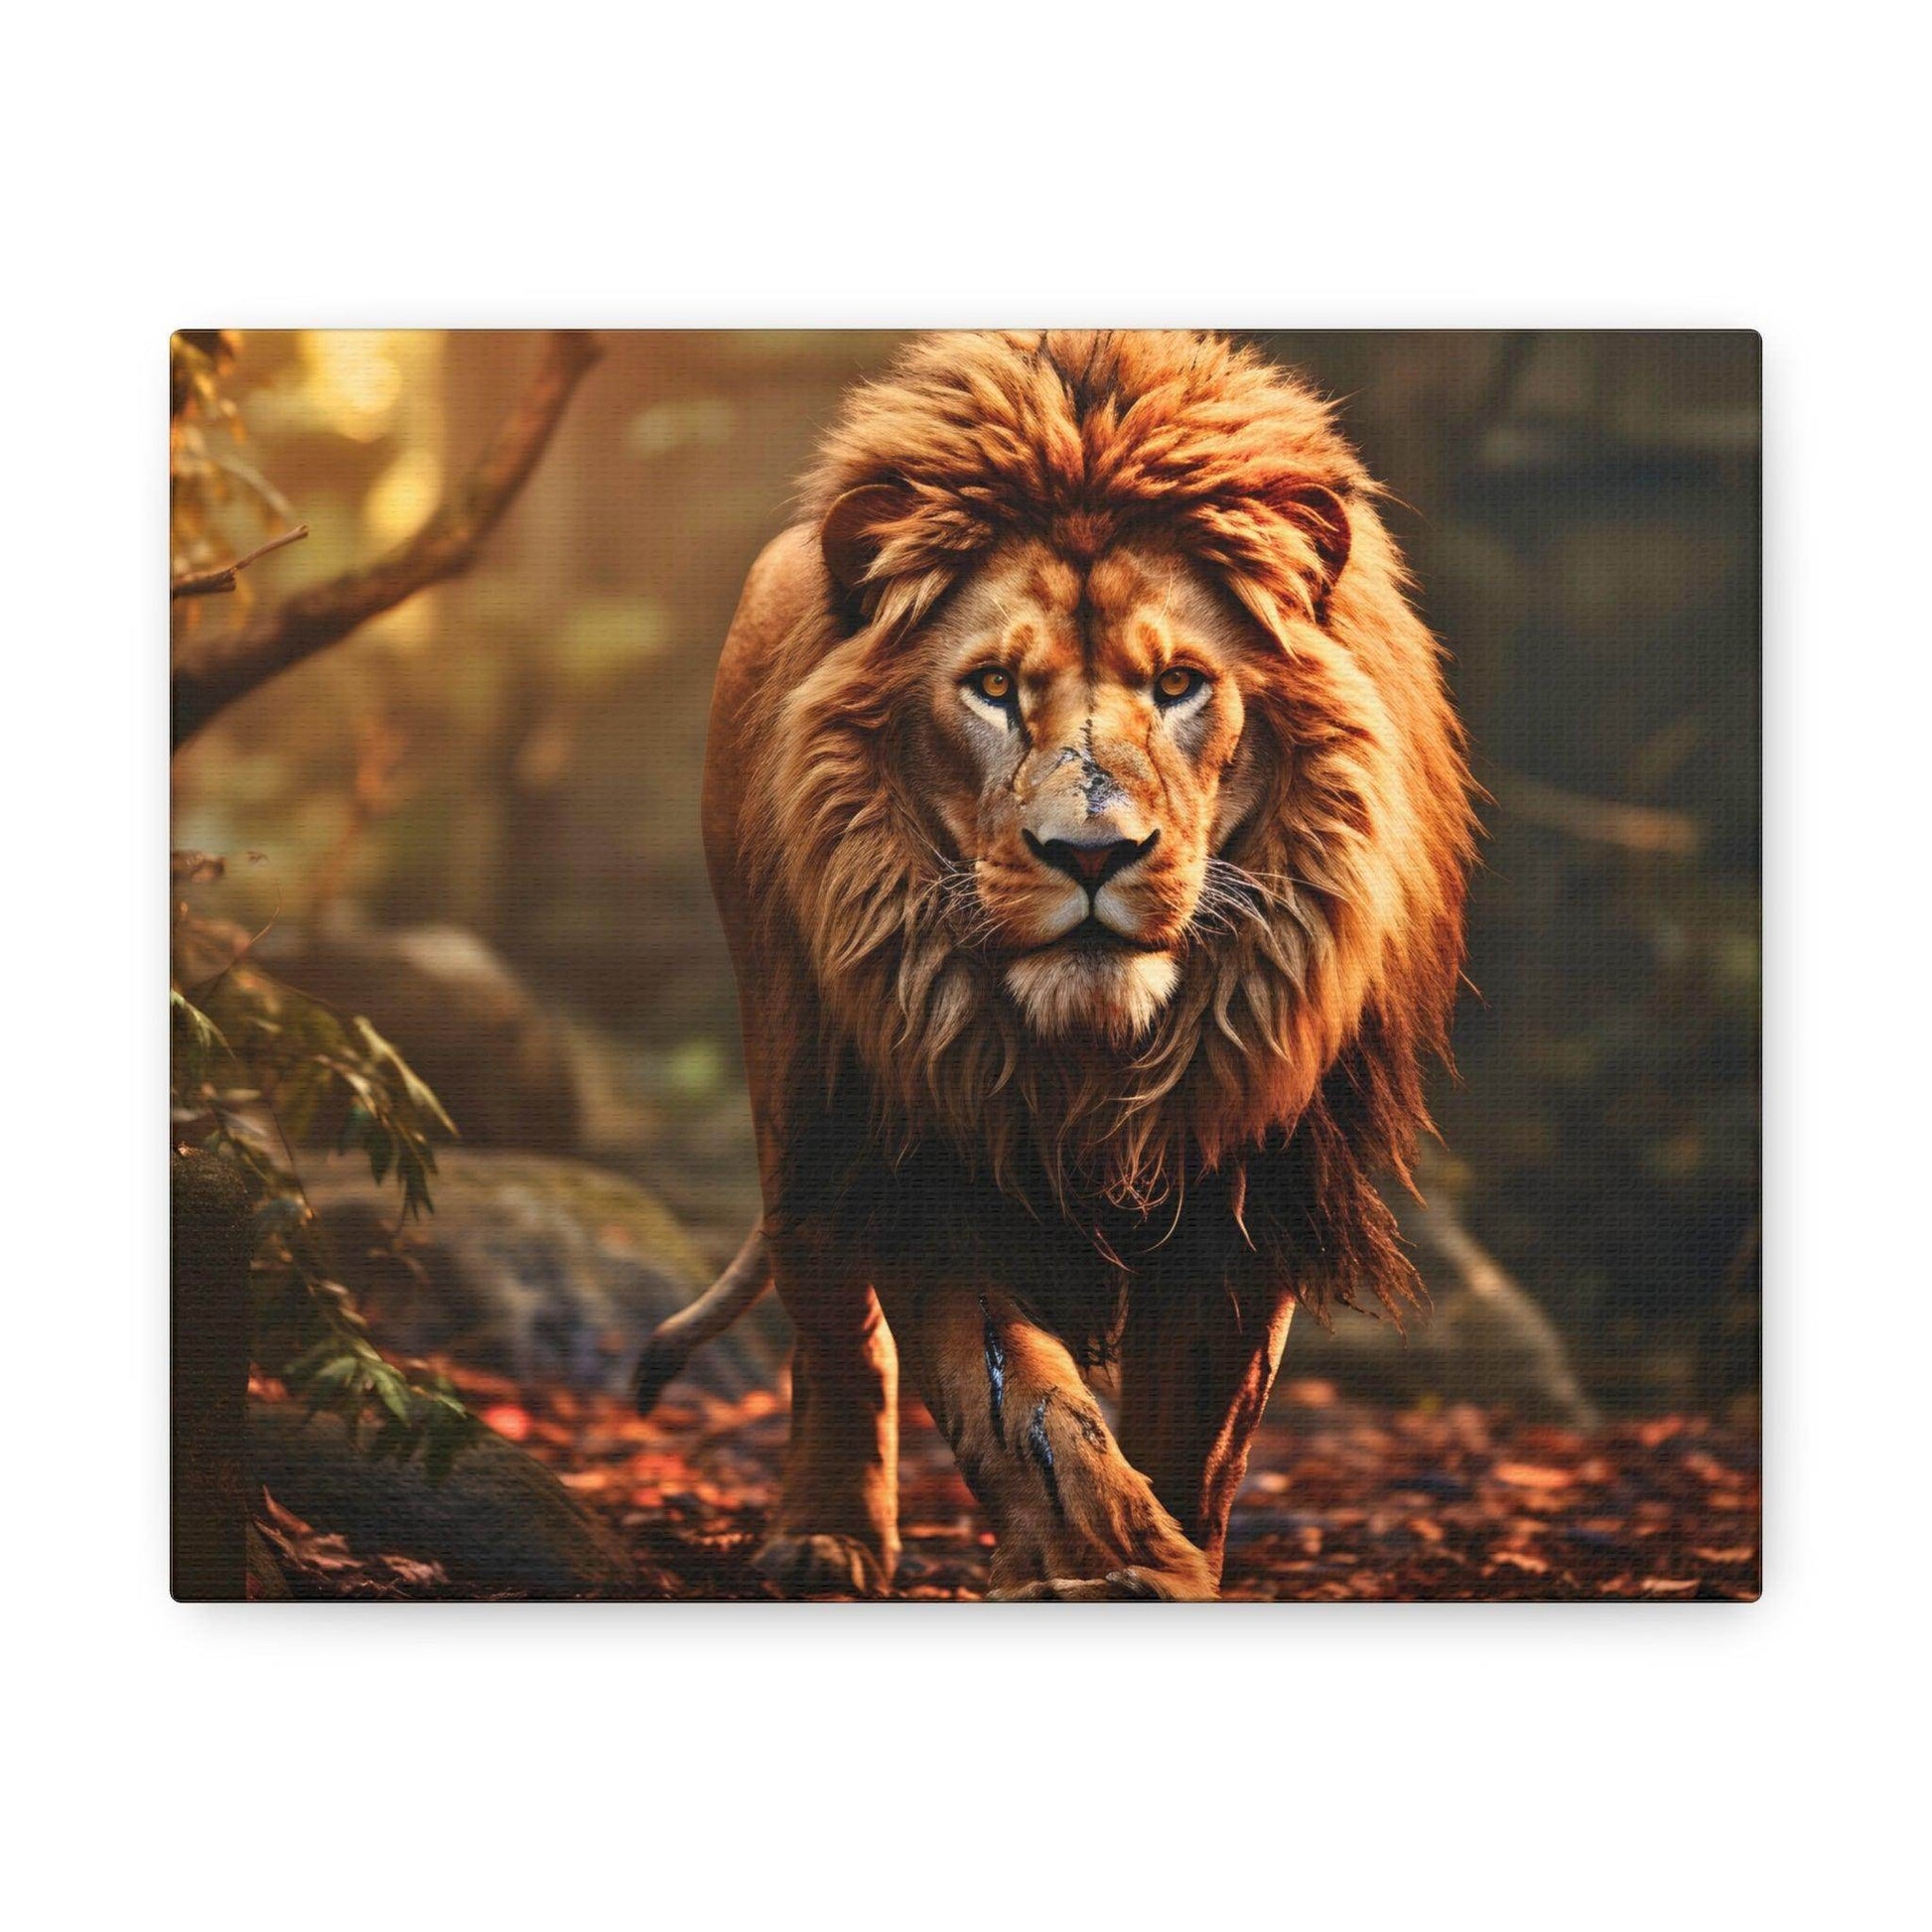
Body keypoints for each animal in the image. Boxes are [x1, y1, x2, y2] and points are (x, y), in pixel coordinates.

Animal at [635, 330, 1475, 1598]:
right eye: (992, 686)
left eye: (1177, 684)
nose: (1090, 852)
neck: (1095, 1055)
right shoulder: (924, 1141)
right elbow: (1017, 1401)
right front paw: (1098, 1554)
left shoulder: (1246, 1179)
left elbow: (1196, 1438)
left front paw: (1167, 1561)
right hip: (797, 1080)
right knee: (832, 1320)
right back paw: (823, 1535)